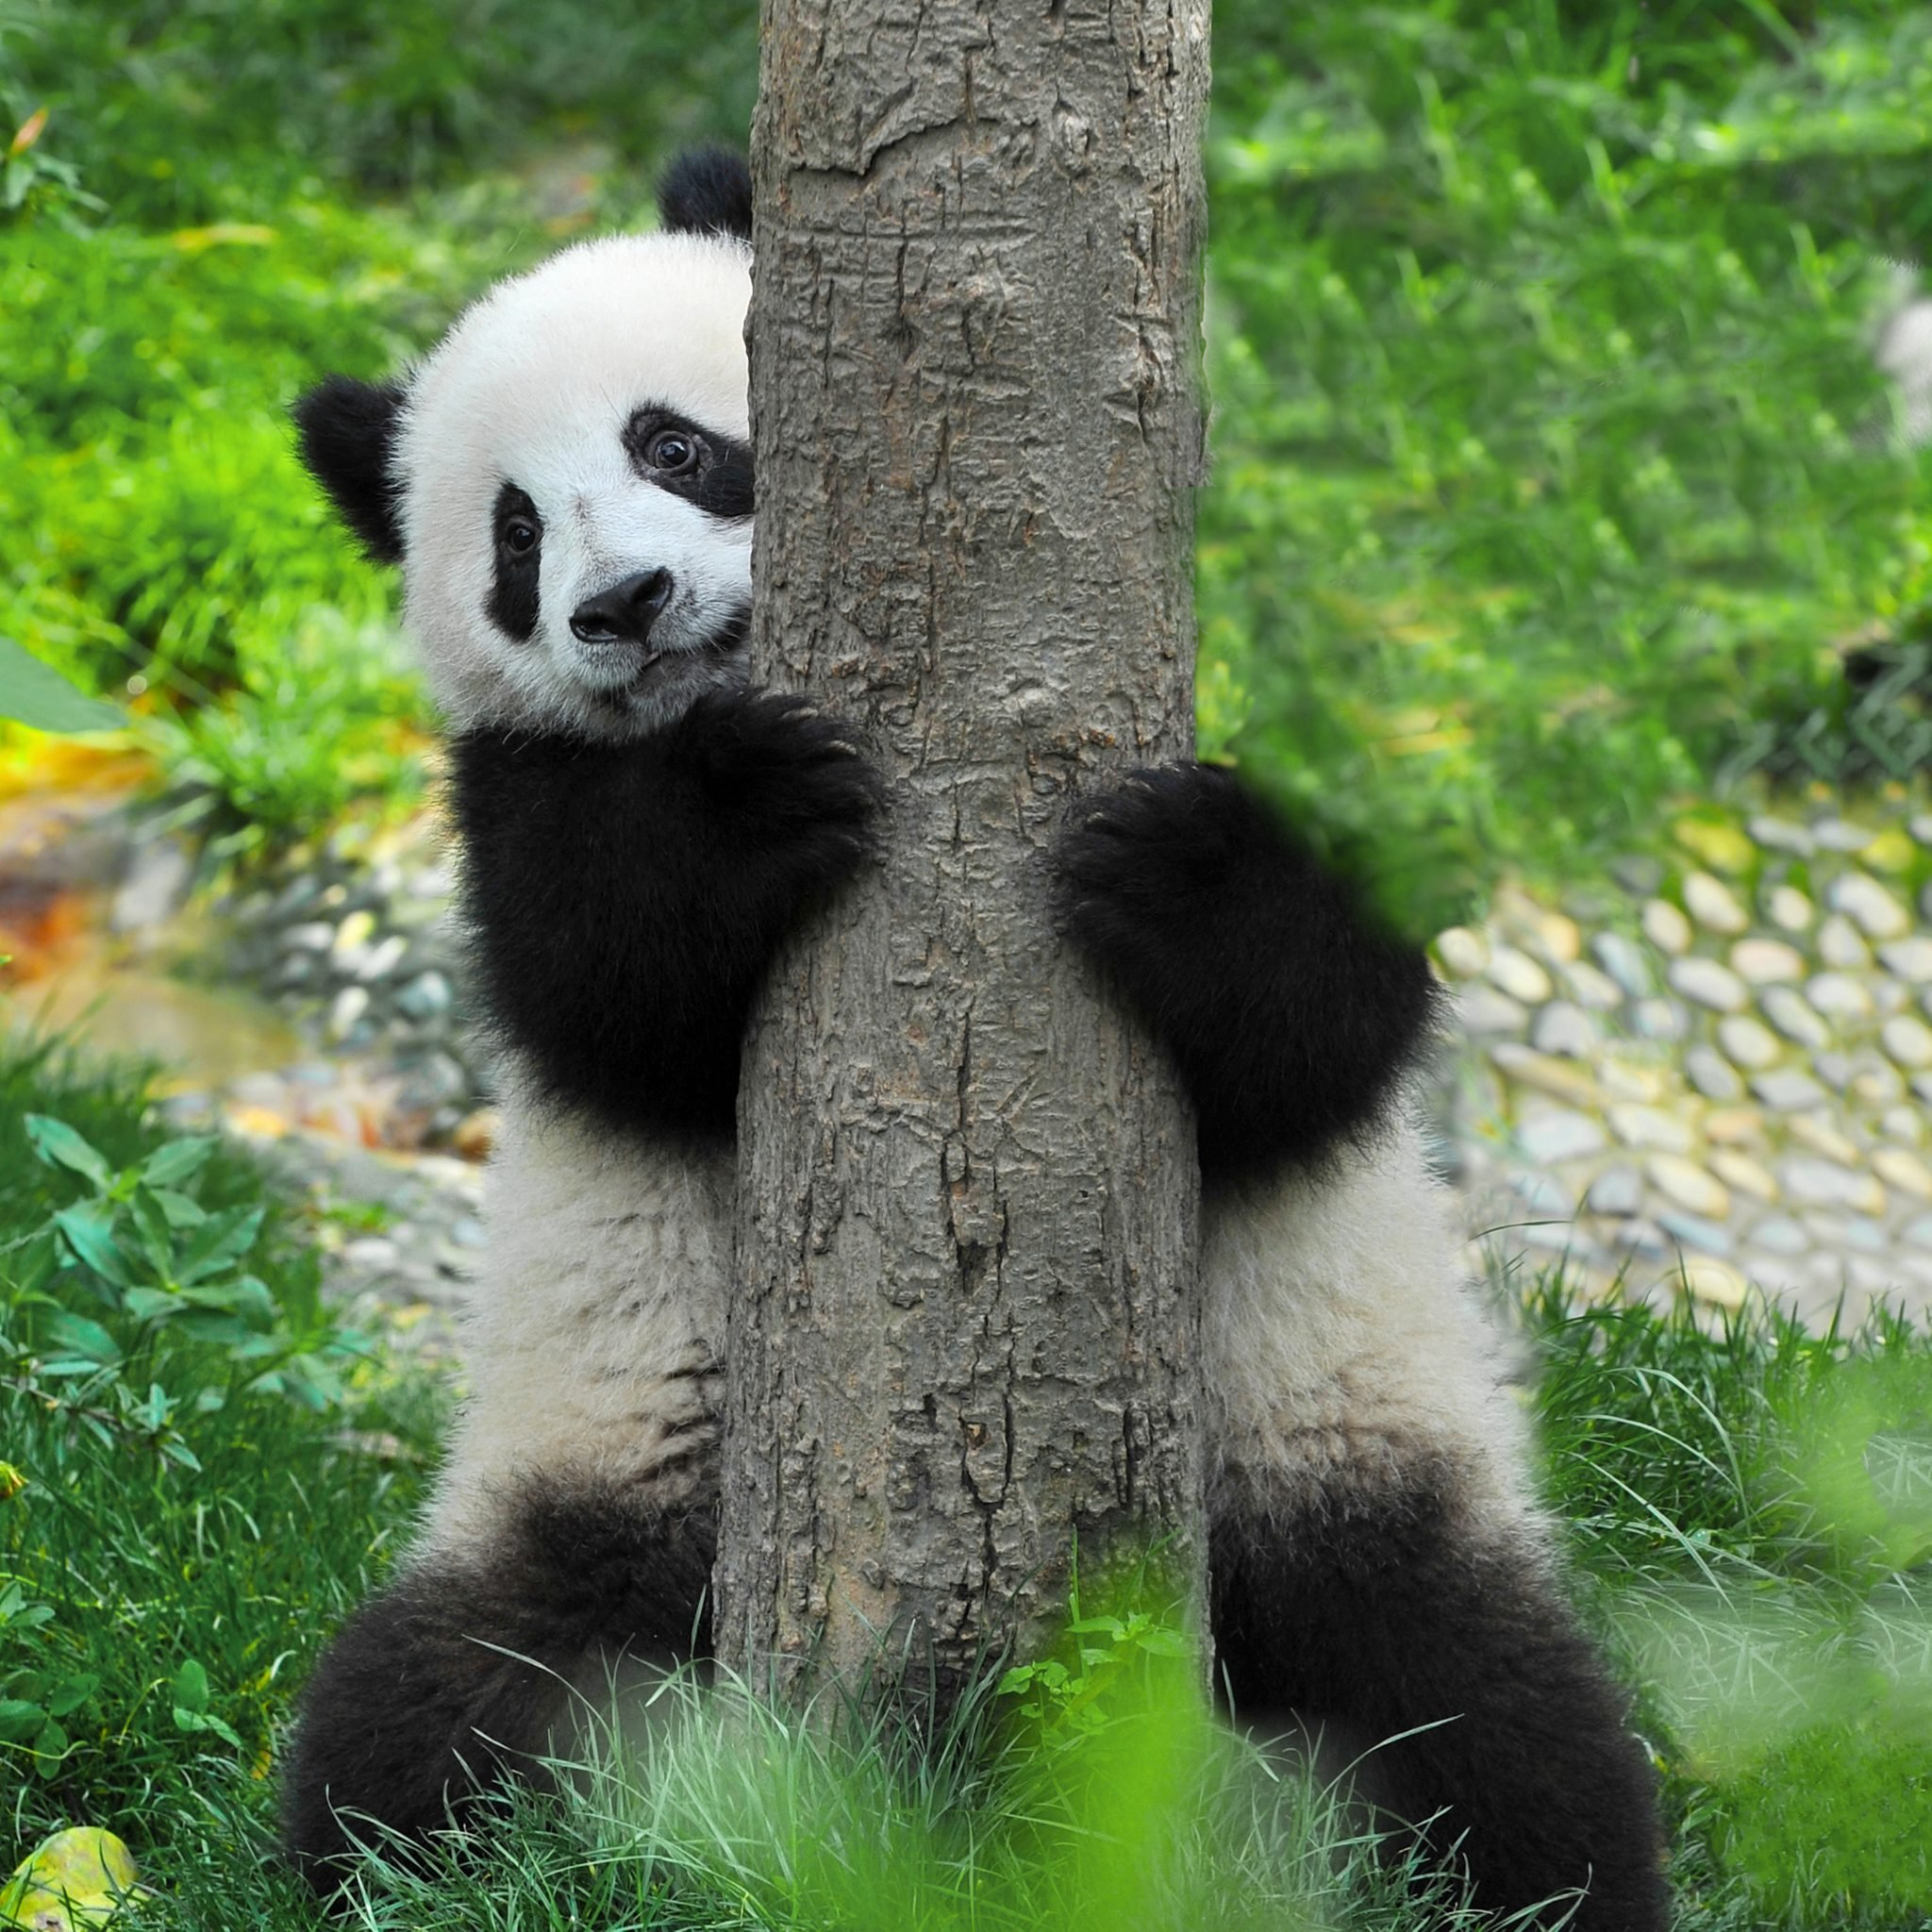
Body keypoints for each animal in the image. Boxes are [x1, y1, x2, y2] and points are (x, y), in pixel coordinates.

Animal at [283, 149, 1666, 1930]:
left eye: (674, 445)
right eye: (515, 535)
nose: (624, 606)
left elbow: (1318, 1043)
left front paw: (1179, 879)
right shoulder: (515, 794)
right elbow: (610, 994)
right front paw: (743, 805)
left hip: (1335, 1458)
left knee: (1487, 1722)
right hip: (589, 1492)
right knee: (438, 1712)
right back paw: (459, 1856)